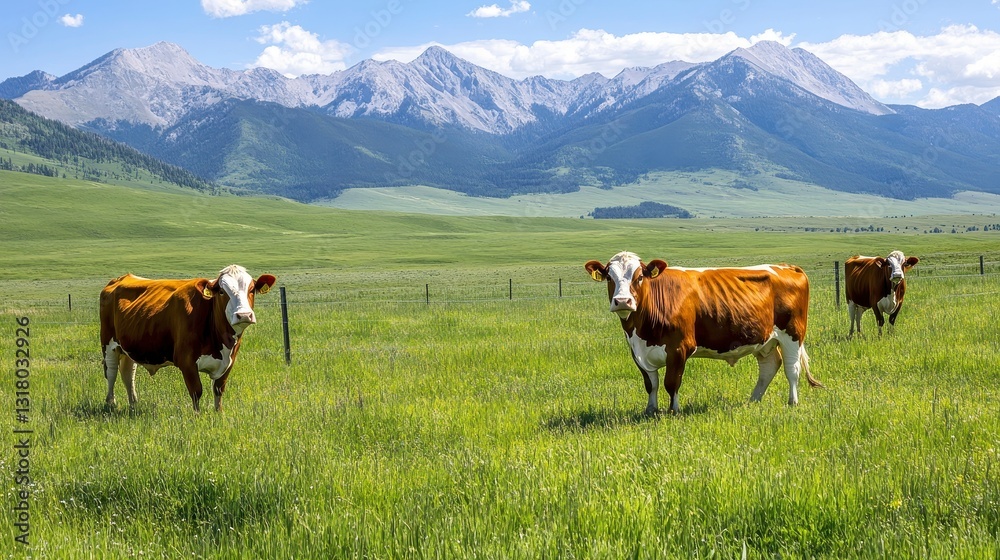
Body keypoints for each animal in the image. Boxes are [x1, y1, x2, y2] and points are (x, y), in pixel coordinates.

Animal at [100, 265, 276, 412]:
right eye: (222, 291)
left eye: (252, 290)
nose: (244, 315)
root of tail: (120, 278)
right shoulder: (187, 361)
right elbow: (196, 391)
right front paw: (197, 418)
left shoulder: (229, 362)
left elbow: (218, 390)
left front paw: (219, 414)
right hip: (108, 343)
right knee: (111, 372)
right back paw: (111, 403)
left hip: (129, 347)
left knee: (128, 374)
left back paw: (133, 404)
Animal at [585, 251, 823, 414]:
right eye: (609, 277)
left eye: (639, 277)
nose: (622, 301)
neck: (642, 331)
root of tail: (786, 266)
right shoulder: (637, 351)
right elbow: (650, 384)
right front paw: (650, 411)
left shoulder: (679, 348)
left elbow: (671, 382)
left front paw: (674, 411)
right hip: (763, 339)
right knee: (769, 366)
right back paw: (753, 400)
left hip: (792, 334)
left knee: (792, 369)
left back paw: (792, 402)